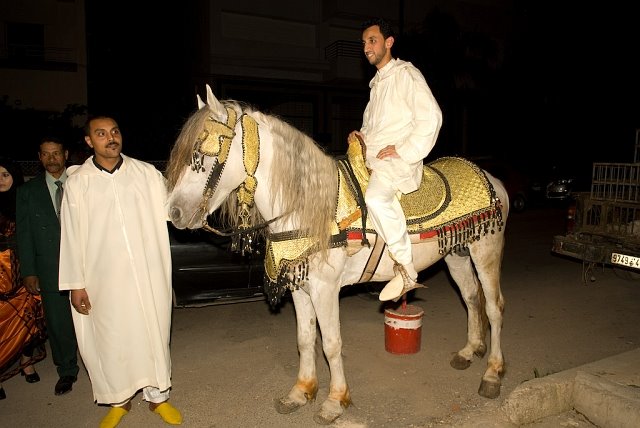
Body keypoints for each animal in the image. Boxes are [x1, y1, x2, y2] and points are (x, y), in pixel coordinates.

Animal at [166, 84, 510, 424]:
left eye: (201, 154)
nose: (173, 212)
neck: (308, 208)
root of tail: (492, 179)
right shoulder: (300, 288)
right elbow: (305, 339)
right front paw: (301, 392)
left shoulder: (325, 289)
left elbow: (331, 343)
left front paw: (335, 401)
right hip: (457, 255)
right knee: (470, 297)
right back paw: (469, 351)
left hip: (486, 252)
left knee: (493, 307)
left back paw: (493, 373)